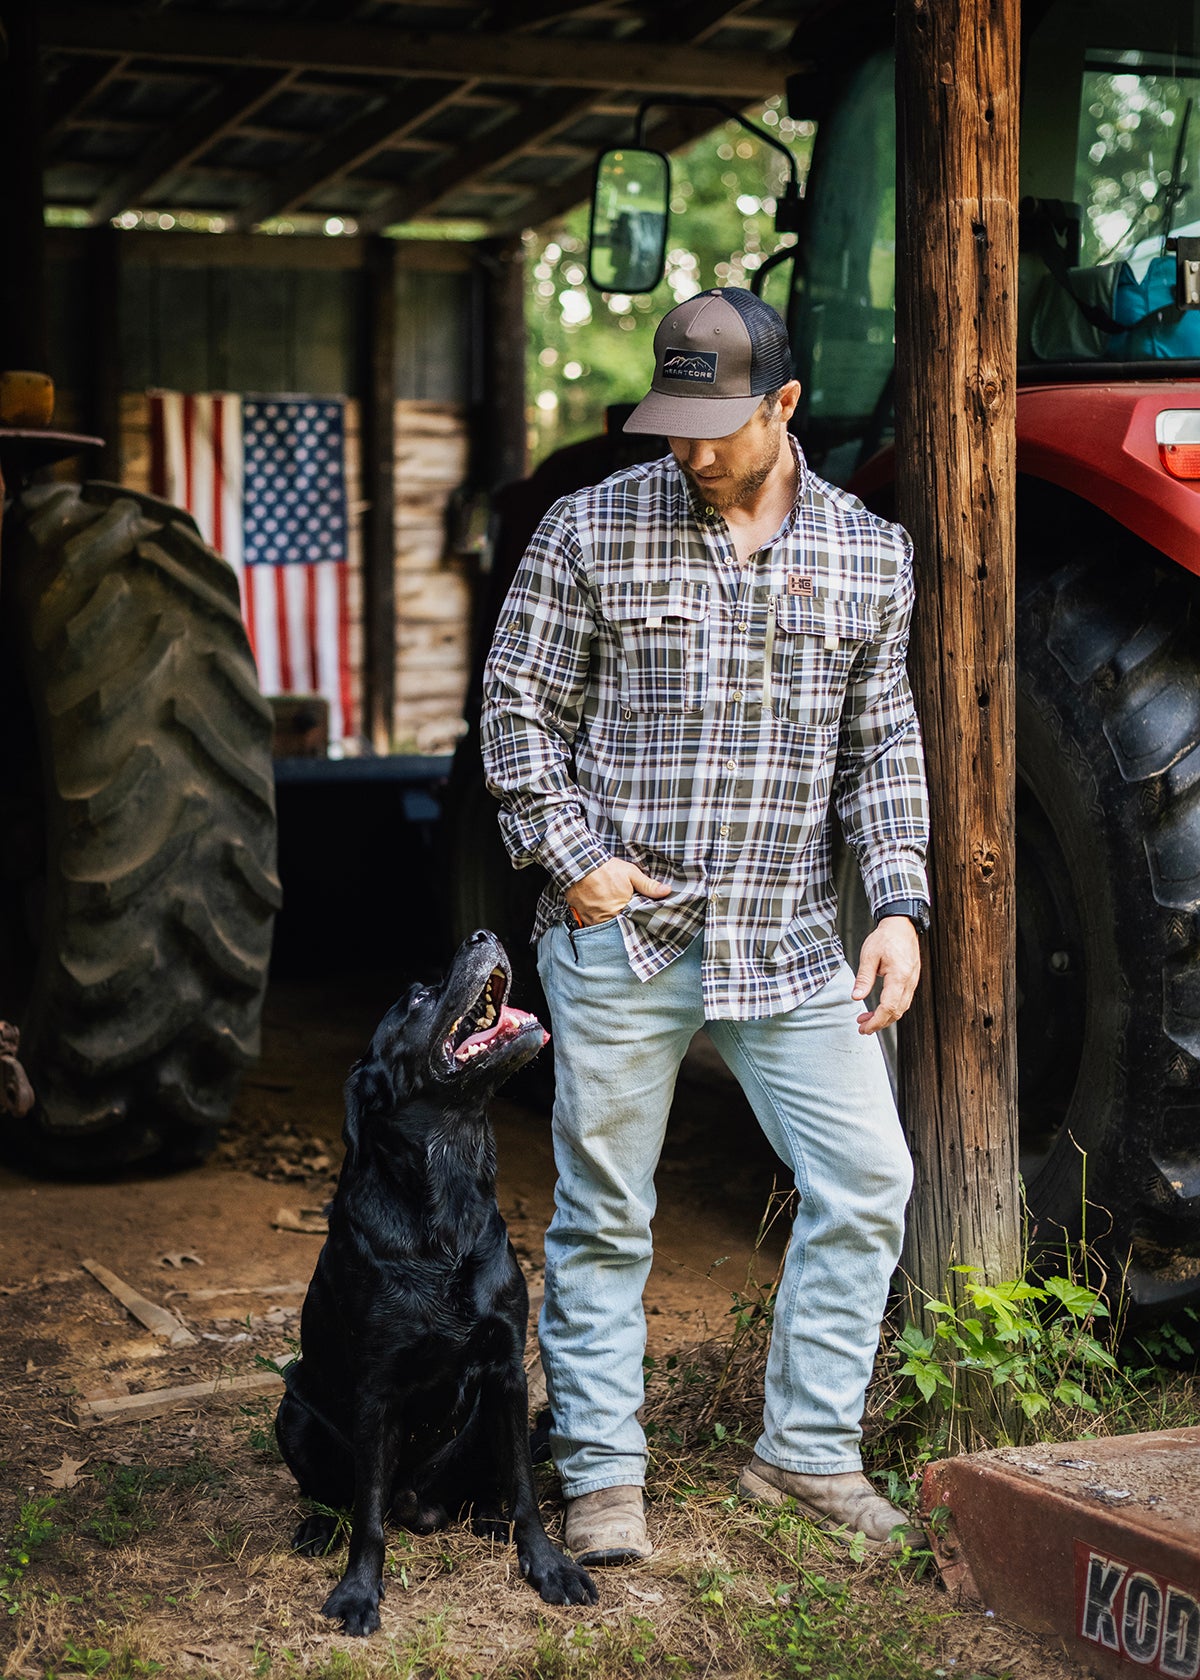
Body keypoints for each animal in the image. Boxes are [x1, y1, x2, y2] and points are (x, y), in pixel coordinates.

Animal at [270, 927, 588, 1632]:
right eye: (416, 998)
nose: (482, 934)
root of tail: (421, 1503)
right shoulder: (376, 1390)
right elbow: (367, 1516)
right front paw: (358, 1592)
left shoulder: (507, 1369)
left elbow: (525, 1489)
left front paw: (546, 1565)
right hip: (293, 1412)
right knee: (340, 1497)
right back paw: (316, 1528)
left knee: (496, 1480)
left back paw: (488, 1518)